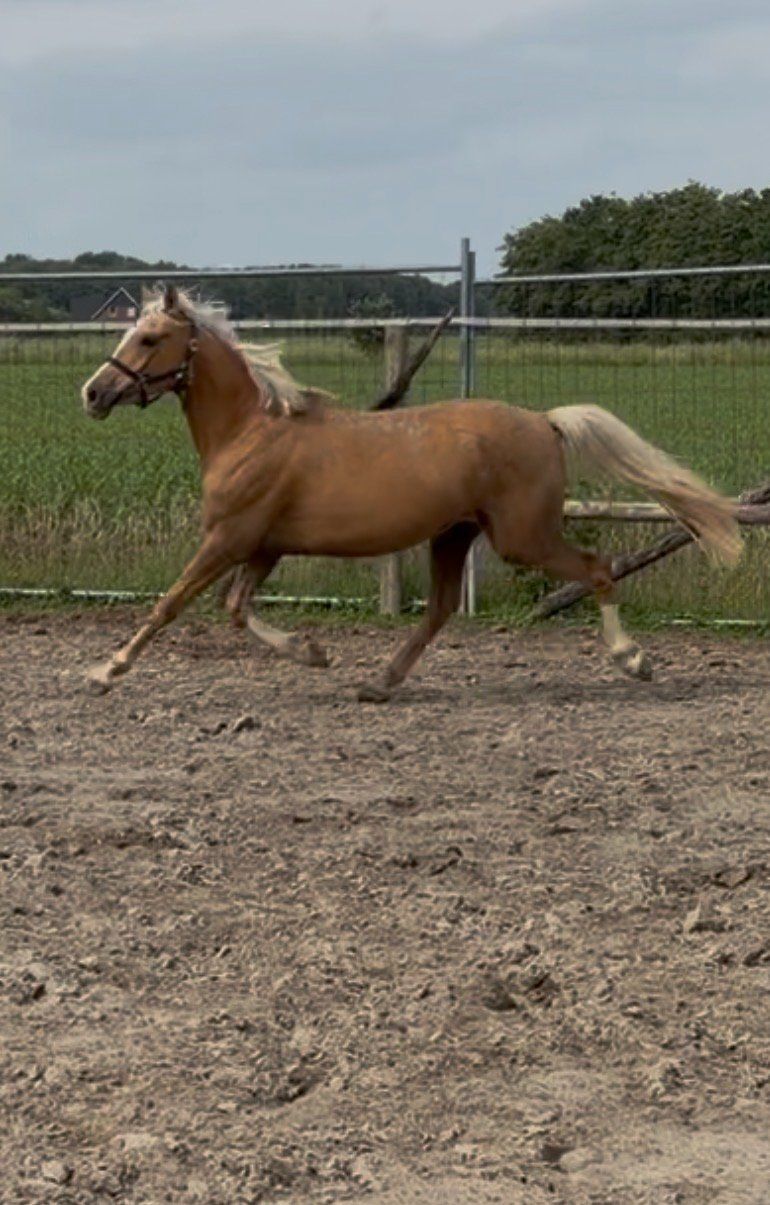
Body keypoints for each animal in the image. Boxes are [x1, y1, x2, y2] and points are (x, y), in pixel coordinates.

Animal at [81, 285, 740, 701]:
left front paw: (104, 671)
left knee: (597, 567)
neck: (250, 430)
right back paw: (379, 682)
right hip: (455, 534)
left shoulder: (228, 538)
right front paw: (314, 652)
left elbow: (170, 604)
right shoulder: (264, 546)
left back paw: (633, 660)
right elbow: (236, 609)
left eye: (150, 337)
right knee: (441, 607)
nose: (93, 393)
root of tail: (544, 421)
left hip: (521, 536)